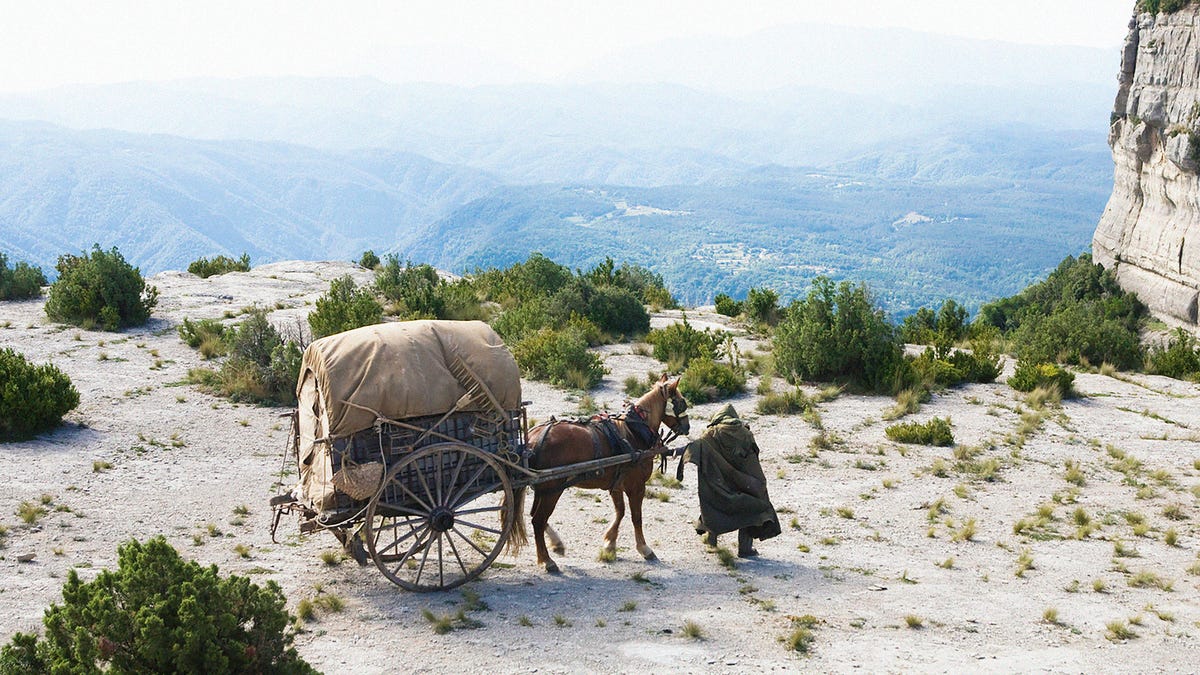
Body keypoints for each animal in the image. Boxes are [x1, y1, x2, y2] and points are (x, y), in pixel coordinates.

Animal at [504, 374, 691, 569]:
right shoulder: (637, 487)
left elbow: (620, 512)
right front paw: (644, 548)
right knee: (538, 520)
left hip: (544, 490)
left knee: (536, 517)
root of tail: (532, 440)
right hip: (552, 491)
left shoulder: (616, 485)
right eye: (681, 403)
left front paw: (610, 544)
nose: (687, 427)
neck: (634, 431)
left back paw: (556, 544)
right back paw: (546, 560)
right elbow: (636, 517)